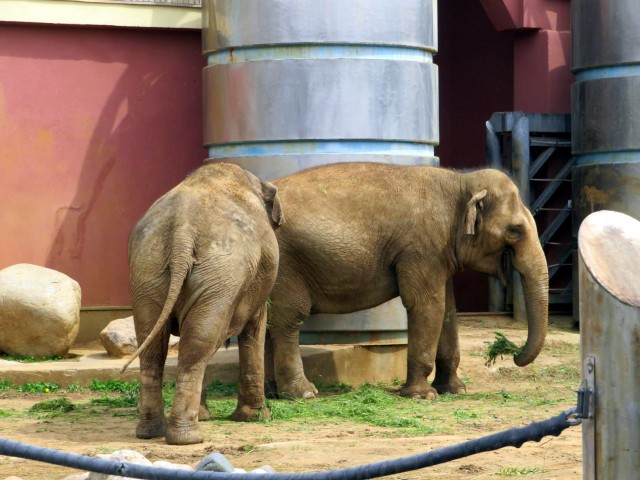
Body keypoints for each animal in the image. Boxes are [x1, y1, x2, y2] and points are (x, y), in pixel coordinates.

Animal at [122, 162, 284, 445]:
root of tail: (182, 233)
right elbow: (255, 326)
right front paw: (258, 417)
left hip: (148, 270)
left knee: (159, 342)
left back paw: (151, 432)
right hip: (221, 273)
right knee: (198, 342)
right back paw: (189, 437)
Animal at [266, 162, 548, 400]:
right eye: (515, 231)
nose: (513, 353)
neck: (460, 181)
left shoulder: (438, 252)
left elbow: (448, 310)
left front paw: (455, 390)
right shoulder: (422, 247)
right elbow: (427, 305)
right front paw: (422, 396)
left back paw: (272, 393)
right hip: (286, 265)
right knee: (288, 320)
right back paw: (303, 394)